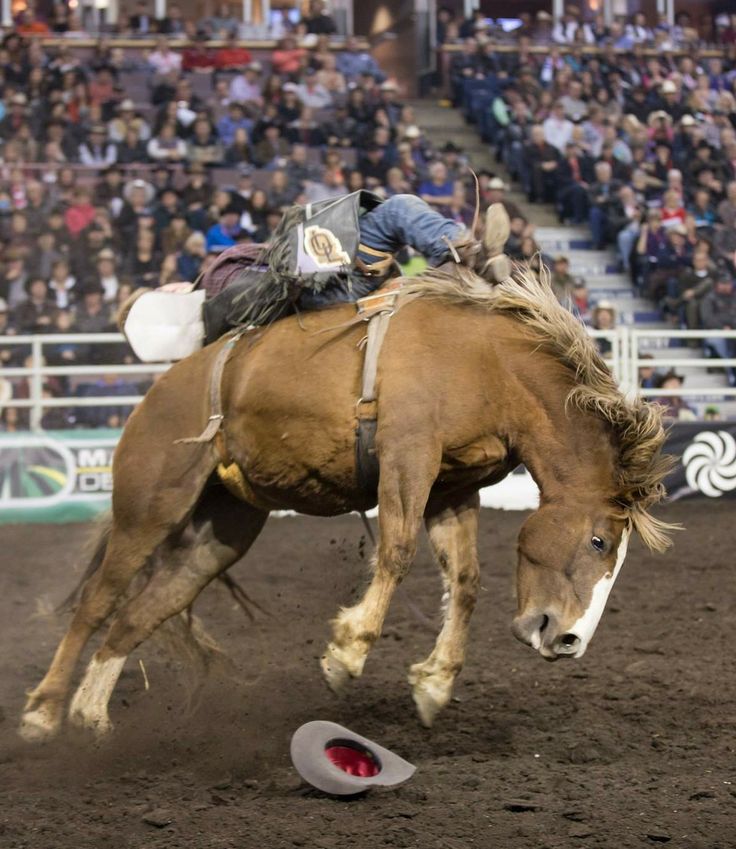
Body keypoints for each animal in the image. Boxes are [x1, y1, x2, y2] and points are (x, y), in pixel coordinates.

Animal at [18, 204, 672, 736]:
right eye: (599, 541)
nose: (568, 640)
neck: (489, 364)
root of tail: (157, 391)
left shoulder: (453, 486)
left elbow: (465, 580)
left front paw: (434, 684)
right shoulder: (409, 455)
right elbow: (398, 551)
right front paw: (346, 654)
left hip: (219, 532)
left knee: (140, 612)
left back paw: (91, 715)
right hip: (150, 504)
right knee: (99, 602)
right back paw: (44, 713)